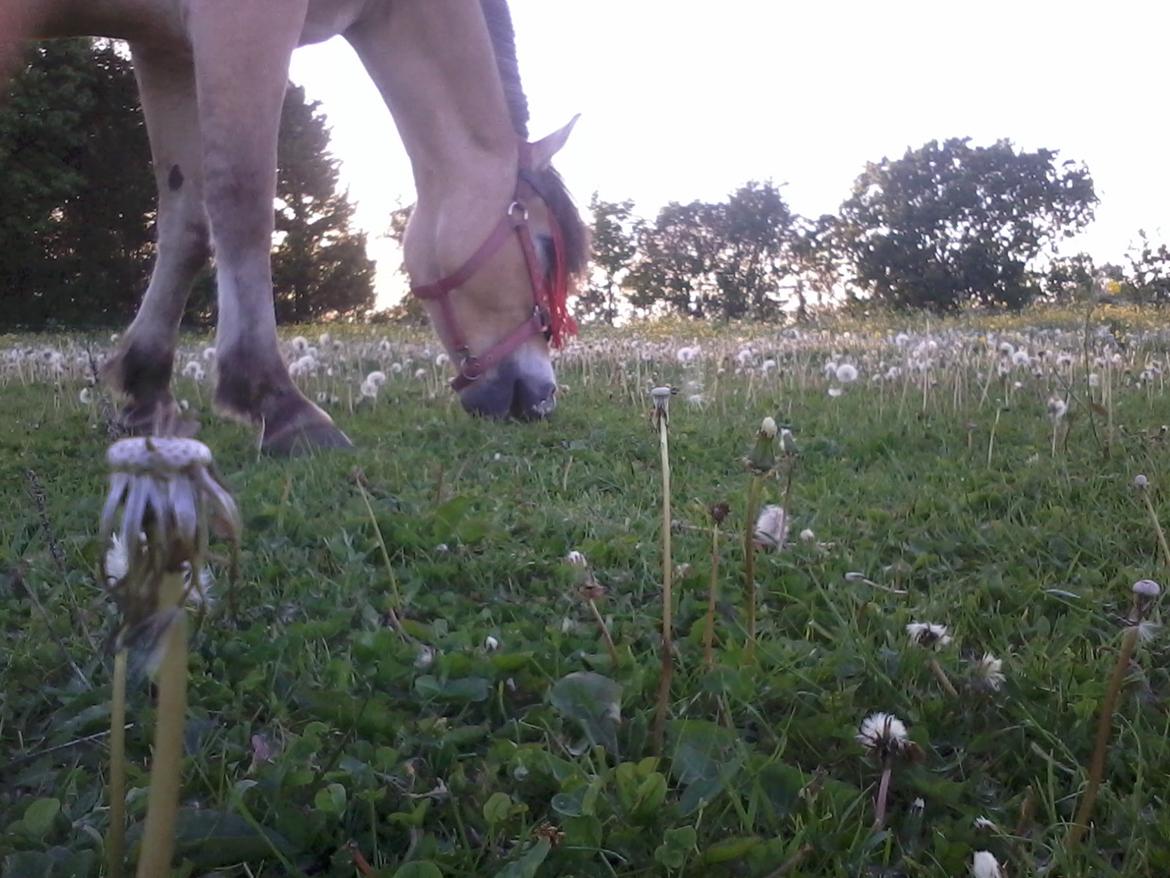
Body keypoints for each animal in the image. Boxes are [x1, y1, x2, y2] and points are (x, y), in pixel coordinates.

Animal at [0, 0, 585, 454]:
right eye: (545, 249)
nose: (542, 400)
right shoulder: (244, 21)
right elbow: (242, 196)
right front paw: (276, 403)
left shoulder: (162, 43)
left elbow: (185, 221)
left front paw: (145, 390)